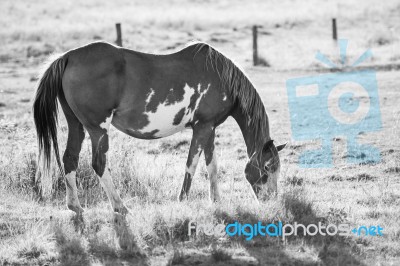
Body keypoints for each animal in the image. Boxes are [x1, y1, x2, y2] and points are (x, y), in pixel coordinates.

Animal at [32, 41, 286, 215]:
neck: (220, 77)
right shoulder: (202, 127)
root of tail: (67, 57)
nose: (272, 201)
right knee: (99, 164)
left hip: (77, 125)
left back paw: (75, 206)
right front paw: (182, 200)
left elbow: (212, 166)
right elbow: (192, 165)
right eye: (267, 167)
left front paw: (216, 201)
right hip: (98, 129)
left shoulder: (210, 128)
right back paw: (120, 207)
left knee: (69, 159)